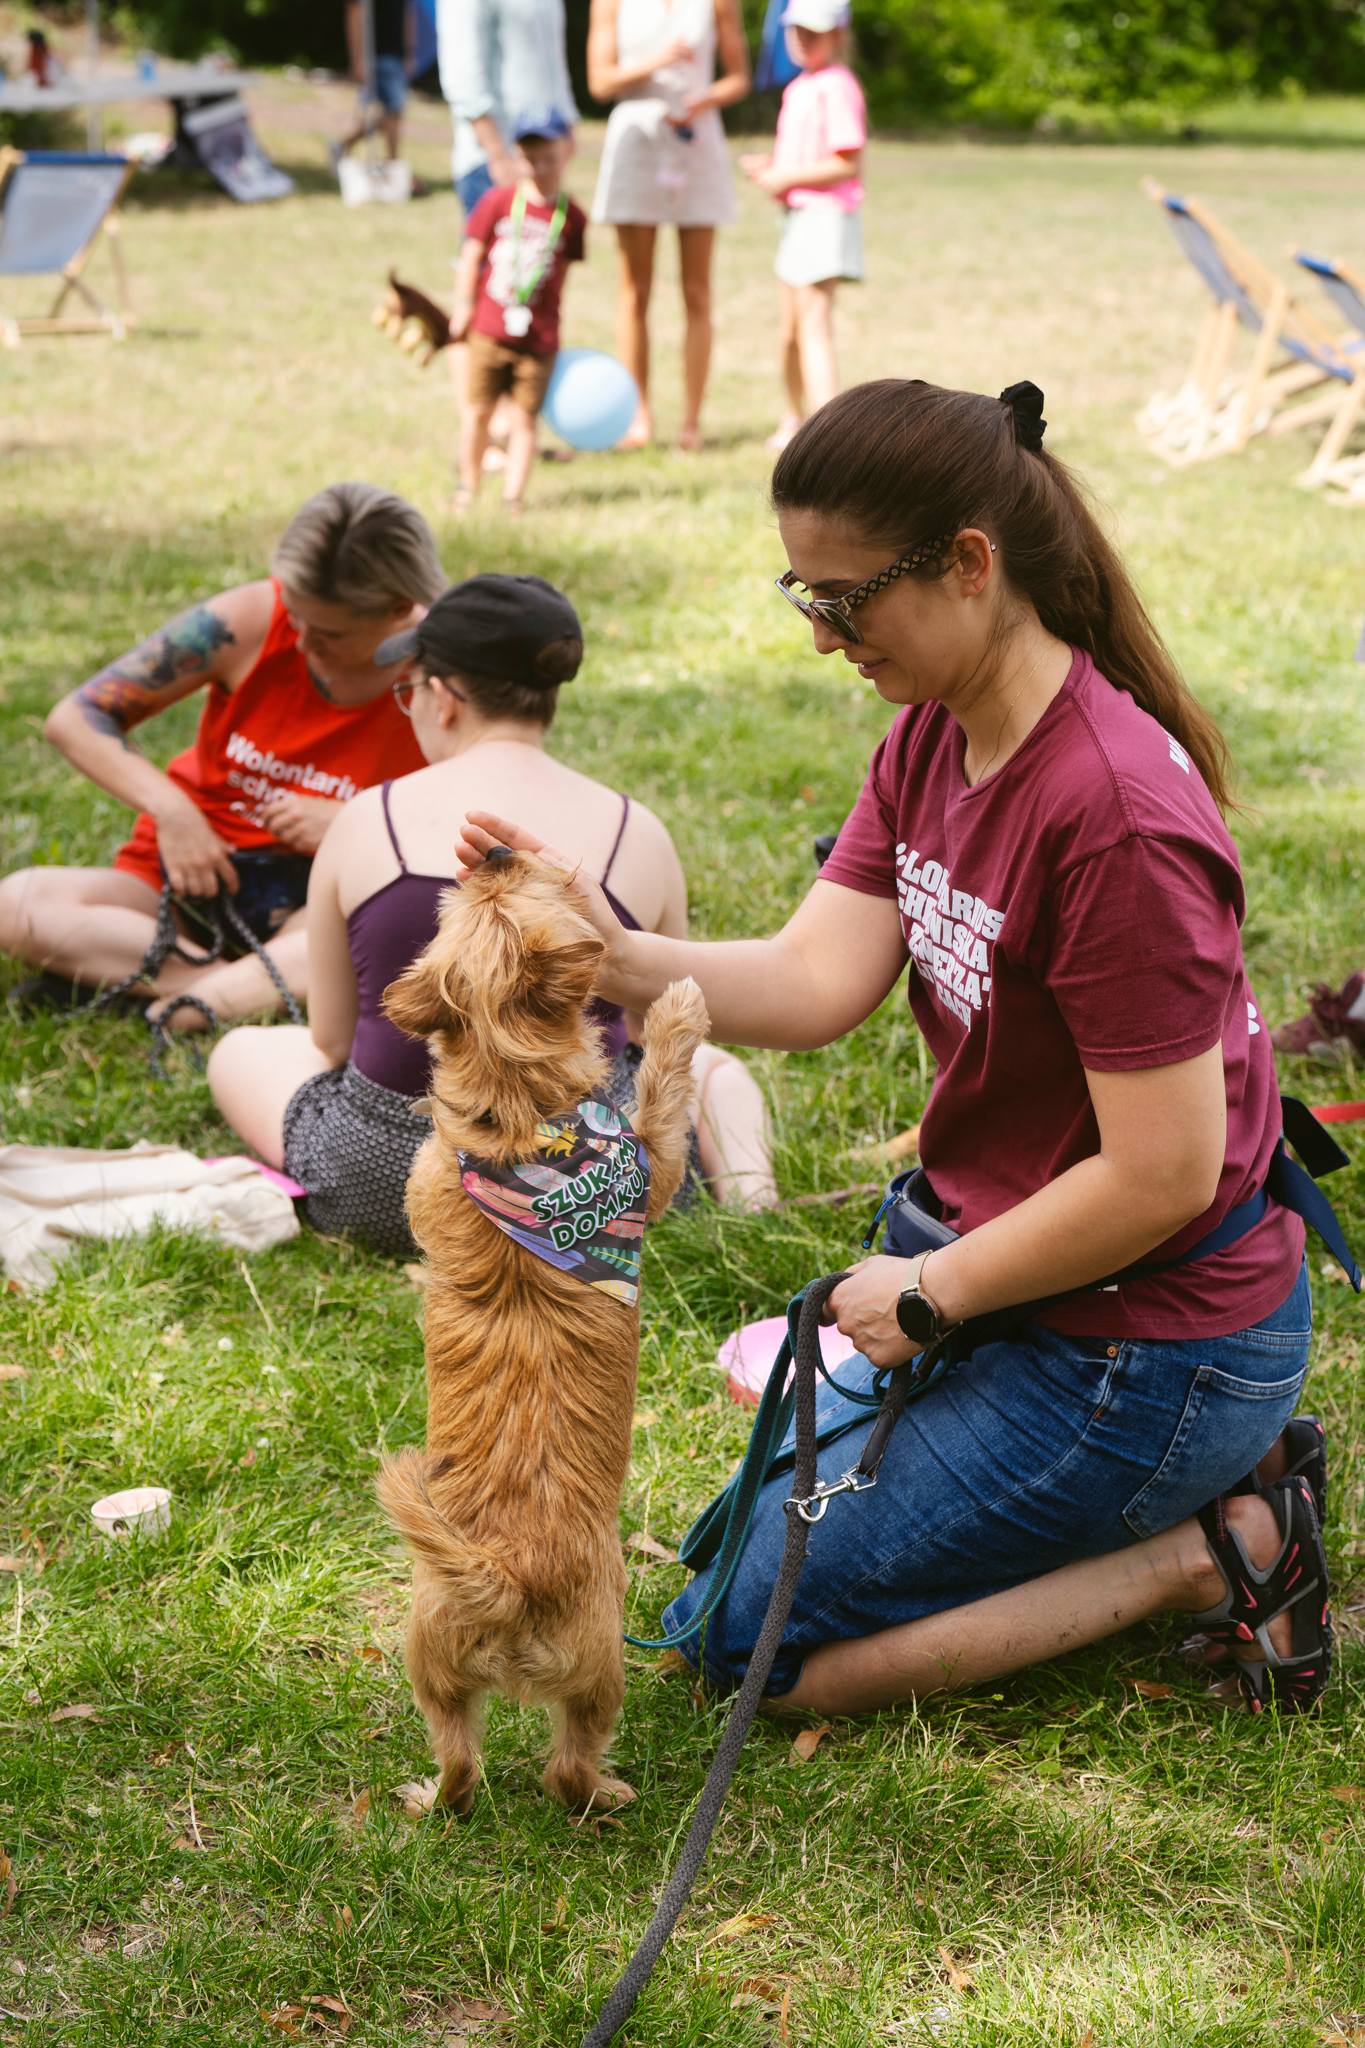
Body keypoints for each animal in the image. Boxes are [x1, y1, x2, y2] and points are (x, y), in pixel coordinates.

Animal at [378, 843, 712, 1810]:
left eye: (463, 898)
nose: (491, 848)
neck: (515, 1116)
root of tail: (504, 1579)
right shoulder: (655, 1168)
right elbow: (660, 1092)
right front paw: (675, 1012)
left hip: (429, 1655)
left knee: (459, 1763)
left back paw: (429, 1800)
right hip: (601, 1666)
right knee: (567, 1763)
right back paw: (606, 1796)